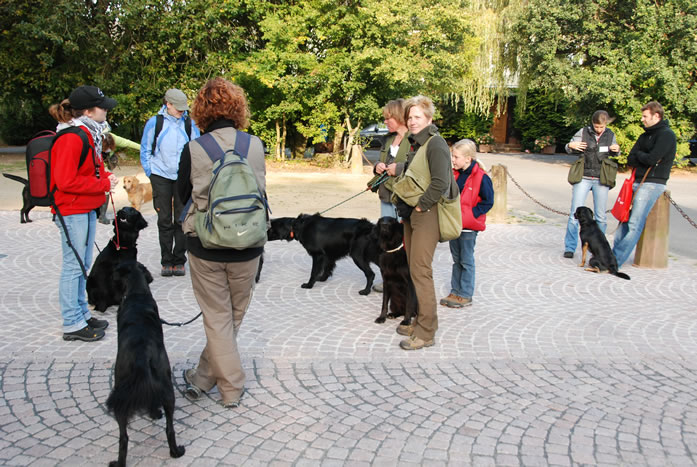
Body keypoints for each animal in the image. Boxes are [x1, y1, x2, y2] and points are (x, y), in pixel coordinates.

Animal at [106, 261, 185, 467]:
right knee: (162, 430)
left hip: (124, 389)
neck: (137, 294)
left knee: (129, 436)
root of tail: (141, 354)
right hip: (161, 386)